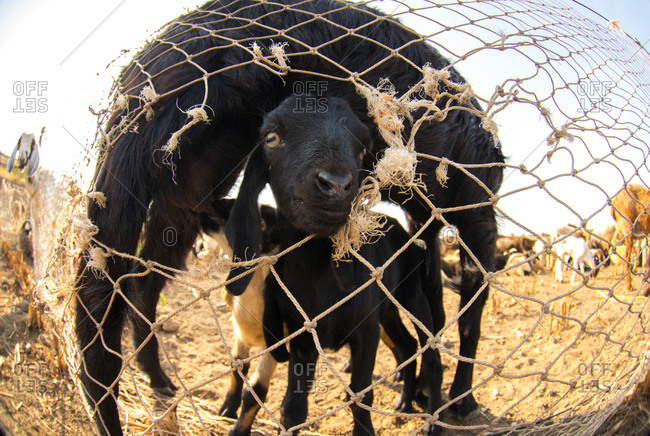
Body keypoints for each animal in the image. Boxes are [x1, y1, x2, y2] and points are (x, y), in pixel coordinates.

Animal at [225, 95, 443, 435]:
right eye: (271, 138)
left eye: (363, 147)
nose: (337, 184)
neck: (319, 278)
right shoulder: (301, 336)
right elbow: (293, 407)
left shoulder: (366, 330)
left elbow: (360, 396)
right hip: (387, 310)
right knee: (407, 347)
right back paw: (405, 403)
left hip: (411, 297)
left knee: (430, 355)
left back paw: (432, 418)